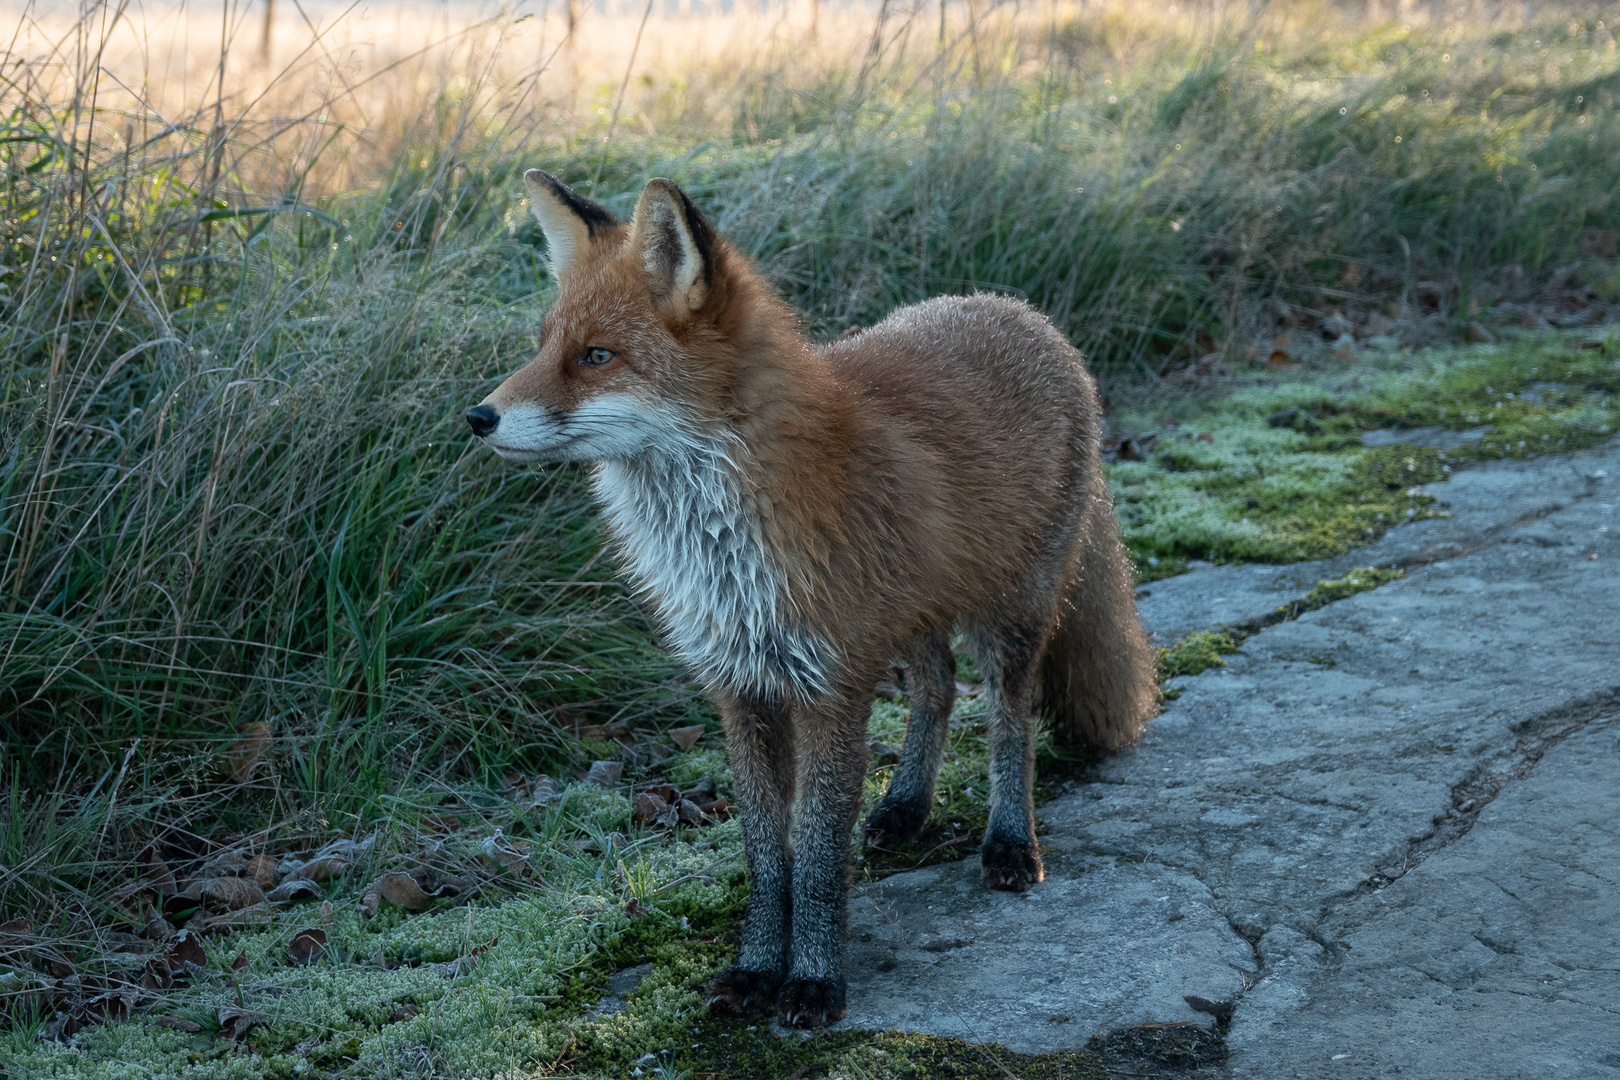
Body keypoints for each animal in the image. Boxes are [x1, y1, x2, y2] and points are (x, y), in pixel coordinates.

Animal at [463, 169, 1159, 1029]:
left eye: (596, 357)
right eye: (543, 346)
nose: (477, 417)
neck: (722, 550)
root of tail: (1017, 310)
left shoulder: (831, 686)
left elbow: (820, 859)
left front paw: (817, 982)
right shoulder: (740, 687)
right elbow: (769, 857)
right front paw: (756, 969)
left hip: (1012, 617)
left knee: (1008, 721)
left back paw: (1008, 841)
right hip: (910, 619)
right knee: (936, 690)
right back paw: (905, 806)